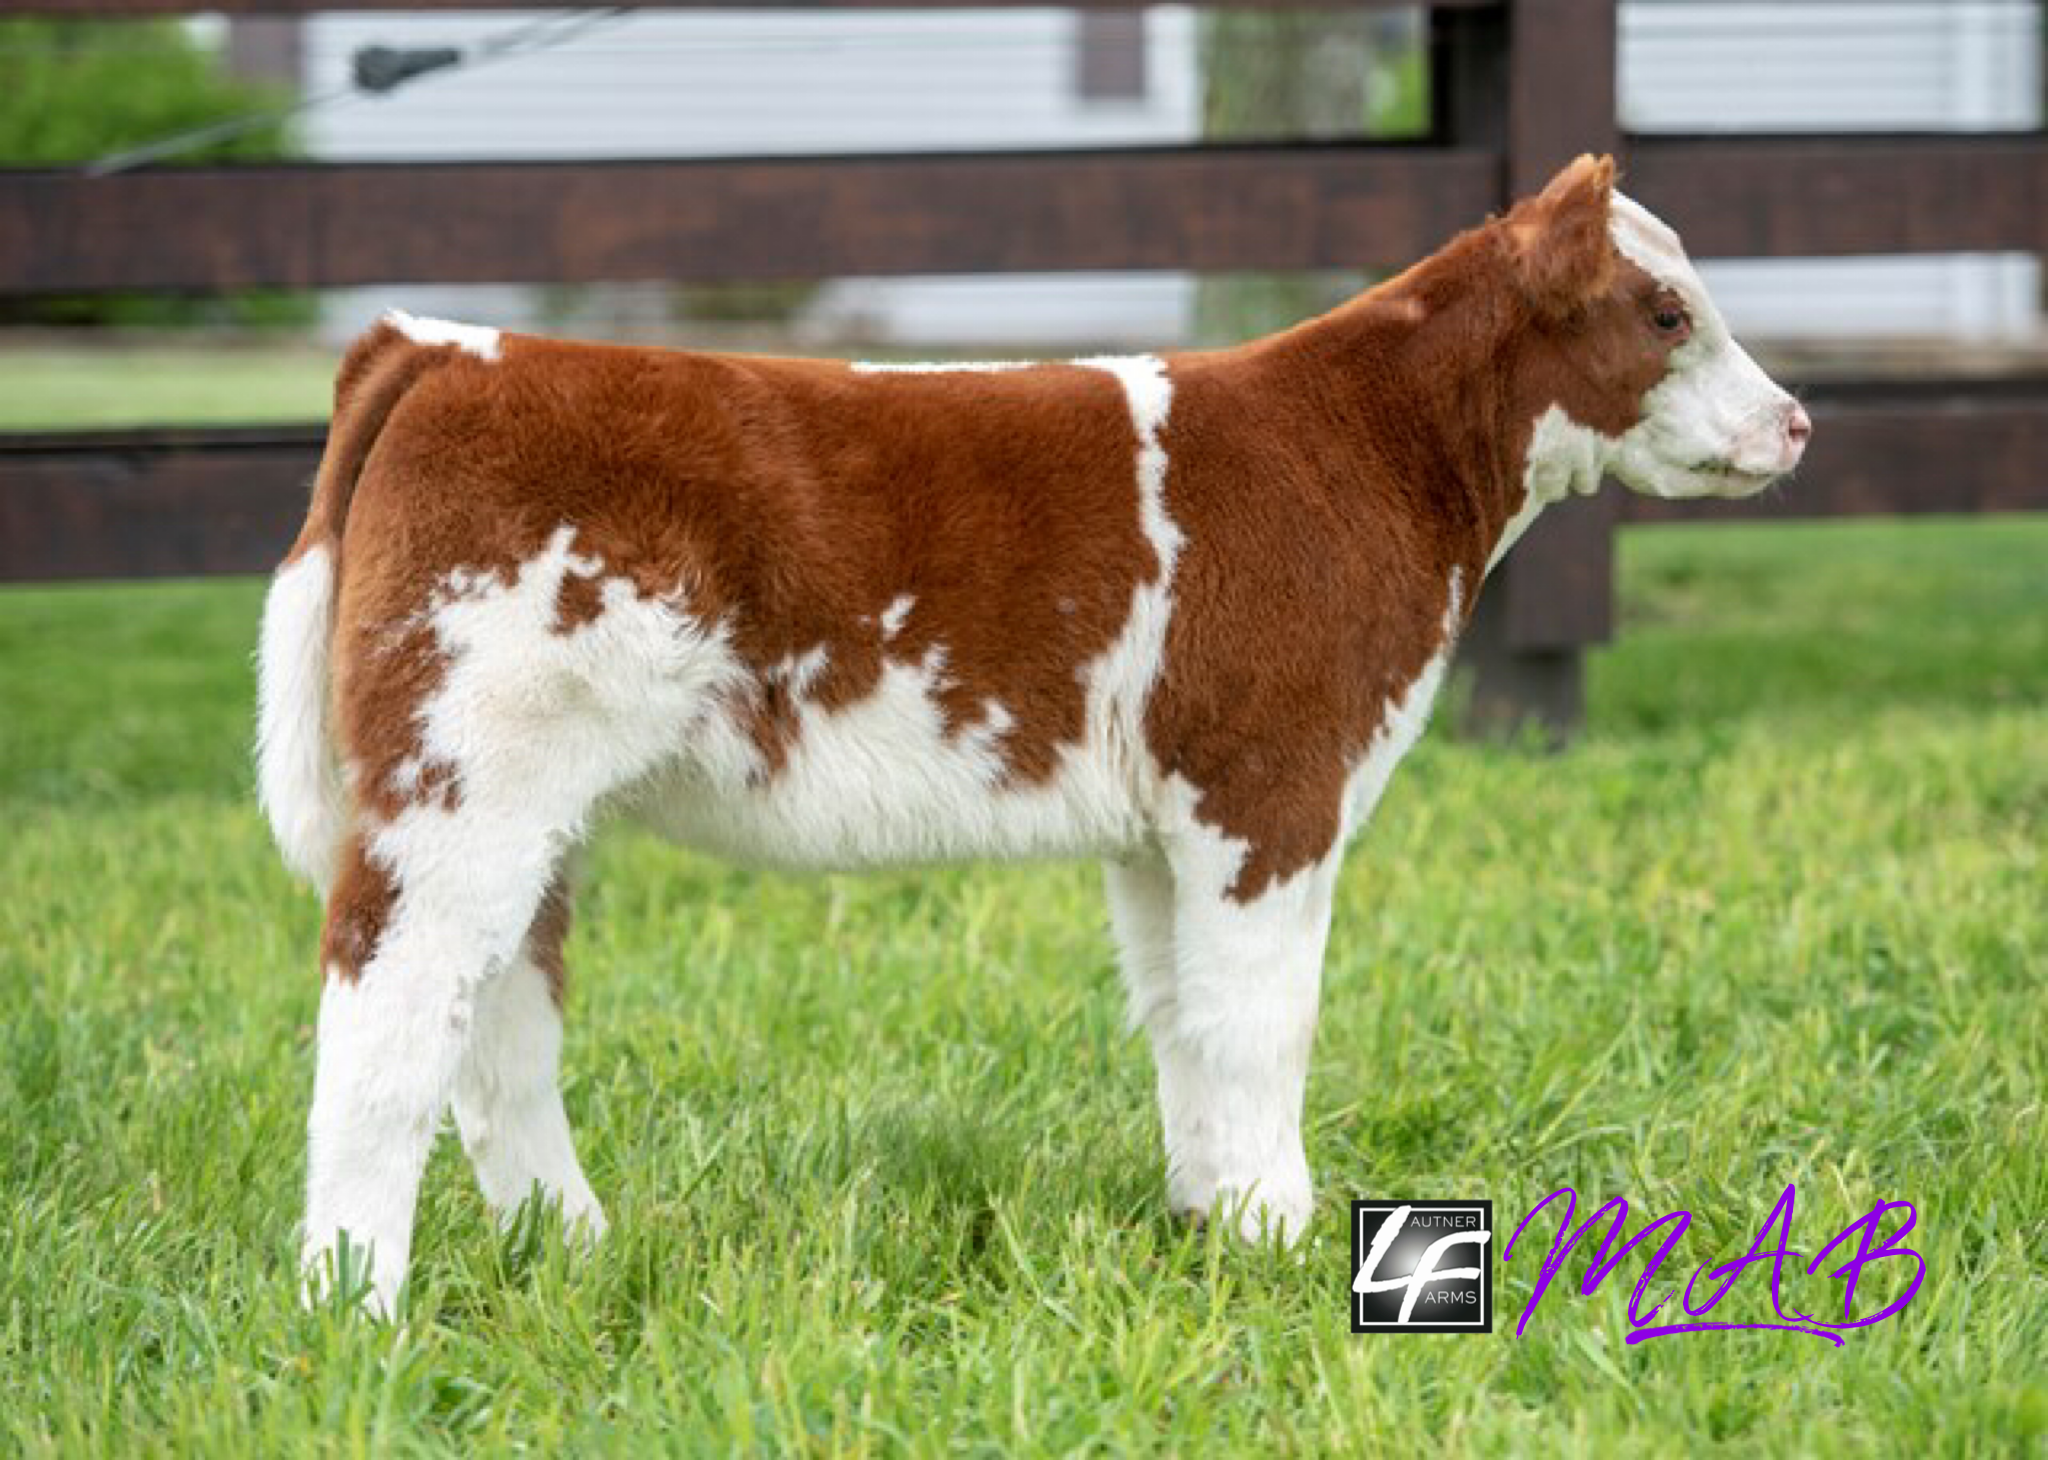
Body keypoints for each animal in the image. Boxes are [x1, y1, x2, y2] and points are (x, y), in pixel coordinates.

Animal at [257, 155, 1809, 1315]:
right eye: (1664, 312)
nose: (1795, 421)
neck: (1364, 452)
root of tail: (447, 347)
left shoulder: (1164, 821)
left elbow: (1184, 1017)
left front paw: (1212, 1226)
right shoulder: (1272, 786)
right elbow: (1263, 1019)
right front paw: (1285, 1238)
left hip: (523, 803)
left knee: (503, 1021)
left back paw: (573, 1250)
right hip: (466, 773)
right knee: (390, 1008)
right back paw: (353, 1303)